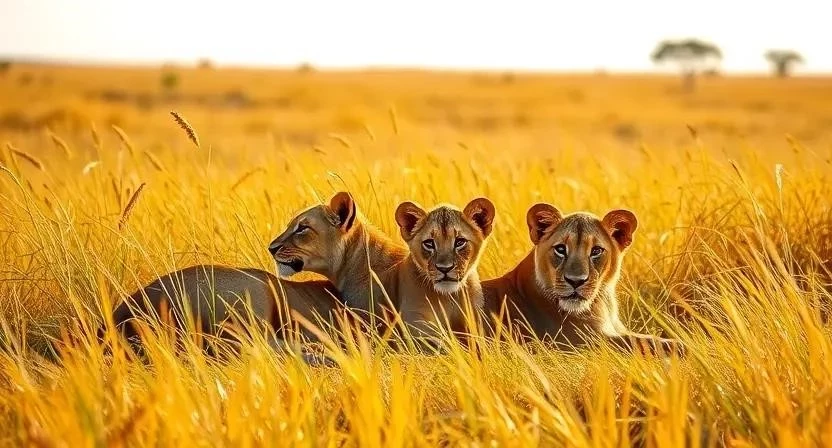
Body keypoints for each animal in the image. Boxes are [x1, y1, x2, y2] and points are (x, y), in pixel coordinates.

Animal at [482, 203, 683, 356]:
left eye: (596, 251)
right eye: (560, 249)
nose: (575, 281)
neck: (602, 303)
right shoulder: (583, 343)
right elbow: (640, 342)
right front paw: (683, 345)